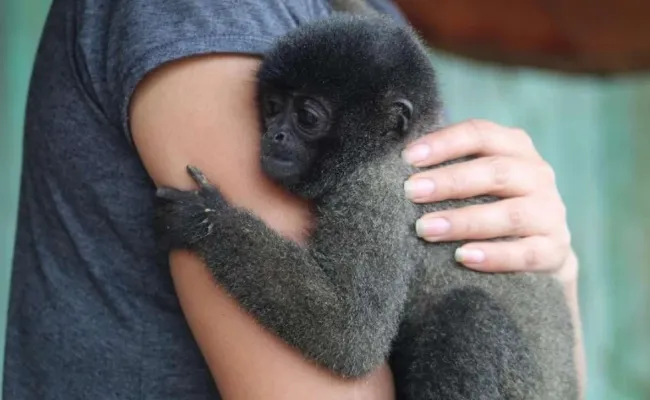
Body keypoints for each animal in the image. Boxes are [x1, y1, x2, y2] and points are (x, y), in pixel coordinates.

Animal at [156, 14, 576, 398]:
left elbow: (351, 335)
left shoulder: (375, 194)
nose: (273, 135)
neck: (390, 149)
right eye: (272, 107)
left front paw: (207, 218)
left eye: (306, 116)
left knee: (469, 314)